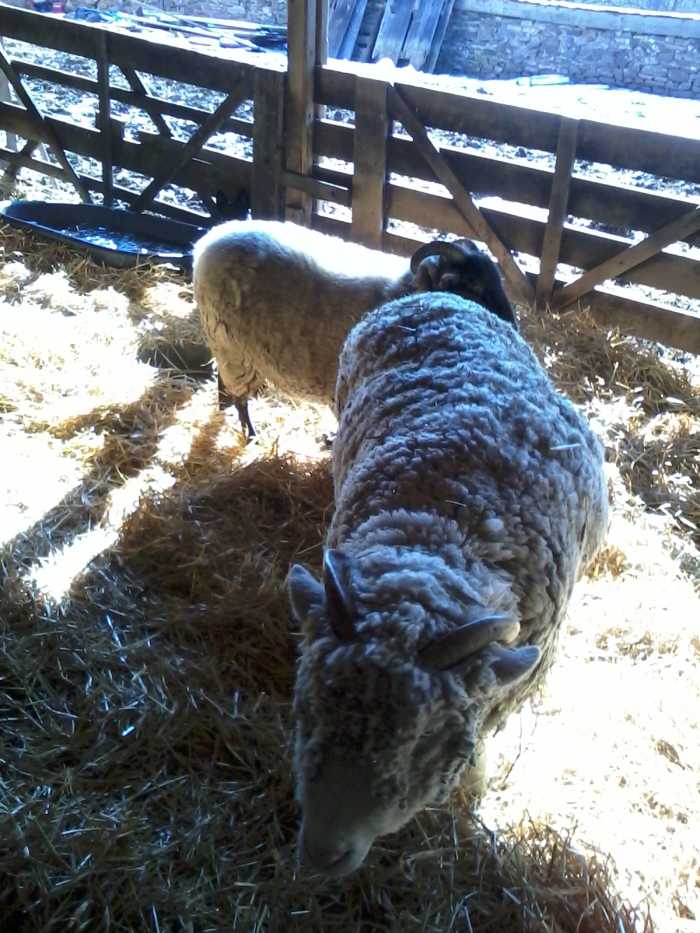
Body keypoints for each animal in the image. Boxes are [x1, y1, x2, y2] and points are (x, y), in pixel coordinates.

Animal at [192, 220, 515, 437]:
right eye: (469, 285)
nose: (511, 325)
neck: (404, 289)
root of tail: (209, 239)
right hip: (229, 345)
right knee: (238, 394)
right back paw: (250, 434)